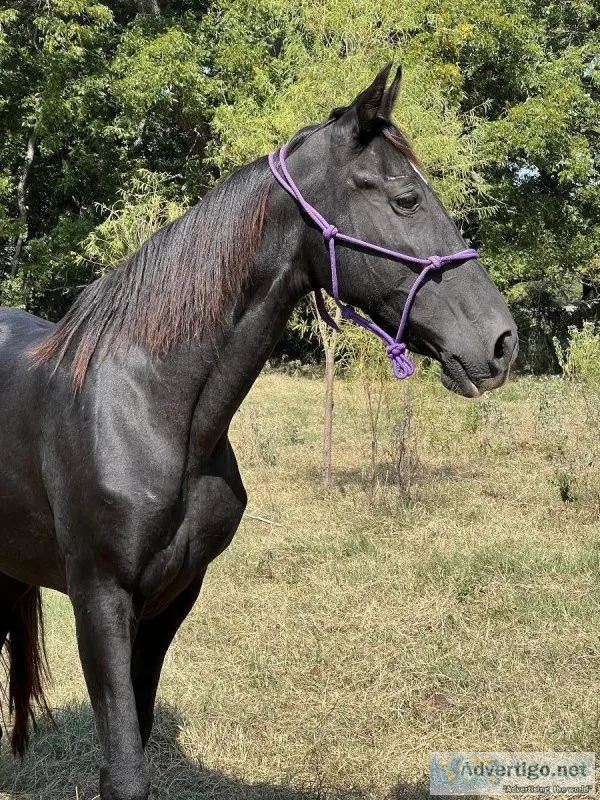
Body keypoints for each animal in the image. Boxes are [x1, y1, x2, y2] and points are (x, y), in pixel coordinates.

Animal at [0, 65, 517, 800]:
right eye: (406, 198)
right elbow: (124, 767)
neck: (152, 410)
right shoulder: (100, 599)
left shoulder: (170, 599)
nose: (501, 342)